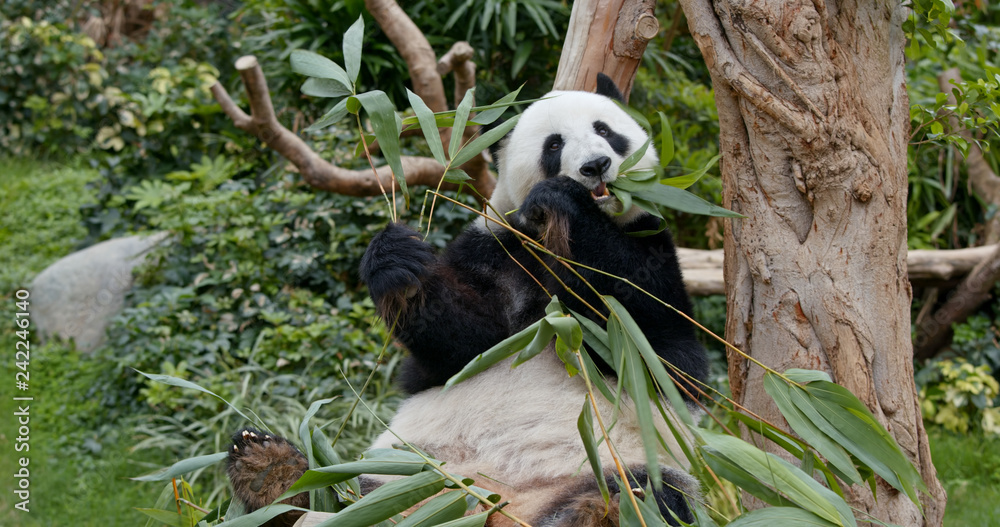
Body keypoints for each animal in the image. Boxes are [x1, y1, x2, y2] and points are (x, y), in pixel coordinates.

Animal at [227, 74, 708, 527]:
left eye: (605, 130)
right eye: (554, 144)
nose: (596, 165)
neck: (544, 242)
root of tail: (487, 505)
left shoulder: (650, 245)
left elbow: (659, 353)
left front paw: (566, 205)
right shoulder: (496, 249)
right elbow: (459, 343)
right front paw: (398, 264)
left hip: (607, 466)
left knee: (645, 493)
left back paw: (596, 511)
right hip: (405, 472)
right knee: (341, 490)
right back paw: (270, 471)